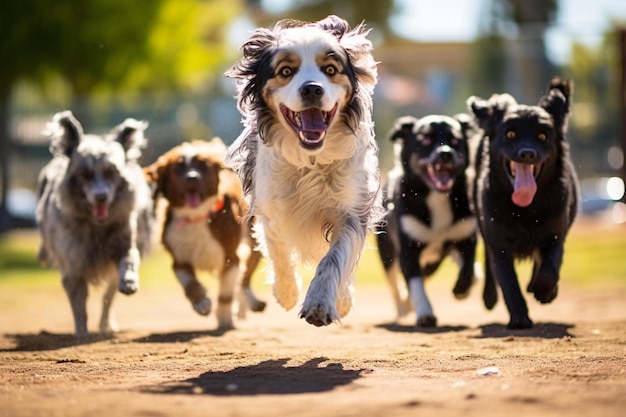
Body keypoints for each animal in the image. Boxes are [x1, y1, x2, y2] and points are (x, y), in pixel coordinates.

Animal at [37, 109, 153, 334]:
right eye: (85, 174)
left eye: (111, 172)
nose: (101, 197)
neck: (96, 227)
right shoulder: (73, 264)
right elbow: (79, 304)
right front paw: (81, 331)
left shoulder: (124, 243)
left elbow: (128, 261)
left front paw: (129, 282)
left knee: (109, 296)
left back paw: (106, 324)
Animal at [144, 138, 266, 330]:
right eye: (178, 167)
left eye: (203, 165)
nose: (192, 177)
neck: (196, 217)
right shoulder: (179, 258)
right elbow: (189, 284)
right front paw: (201, 303)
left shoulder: (231, 257)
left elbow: (226, 293)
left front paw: (225, 319)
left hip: (254, 246)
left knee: (244, 280)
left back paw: (249, 304)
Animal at [223, 15, 380, 324]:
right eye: (286, 71)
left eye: (330, 69)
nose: (312, 89)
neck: (312, 160)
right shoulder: (272, 208)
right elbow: (278, 249)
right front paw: (286, 293)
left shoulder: (352, 210)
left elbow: (335, 258)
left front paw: (322, 303)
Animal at [376, 114, 478, 324]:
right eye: (425, 139)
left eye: (455, 139)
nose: (445, 153)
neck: (436, 197)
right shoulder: (408, 250)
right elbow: (415, 284)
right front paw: (424, 312)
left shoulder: (465, 239)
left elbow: (469, 269)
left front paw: (461, 289)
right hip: (388, 254)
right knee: (395, 284)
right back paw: (403, 309)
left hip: (433, 261)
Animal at [466, 76, 576, 326]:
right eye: (510, 134)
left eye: (543, 136)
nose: (527, 153)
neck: (525, 209)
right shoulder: (499, 244)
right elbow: (508, 283)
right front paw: (519, 318)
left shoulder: (556, 235)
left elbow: (549, 269)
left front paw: (544, 292)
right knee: (489, 265)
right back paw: (489, 297)